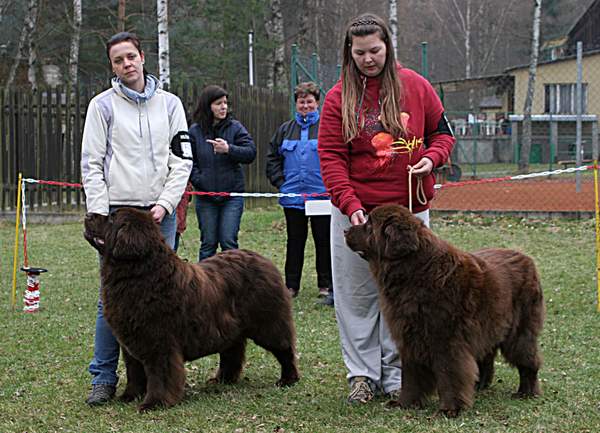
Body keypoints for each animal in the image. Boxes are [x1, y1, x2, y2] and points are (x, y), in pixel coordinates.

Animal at [84, 208, 300, 410]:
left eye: (112, 218)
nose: (88, 214)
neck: (140, 274)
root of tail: (263, 259)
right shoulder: (131, 341)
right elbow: (134, 372)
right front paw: (130, 396)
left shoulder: (160, 342)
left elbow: (160, 375)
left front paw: (154, 402)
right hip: (231, 327)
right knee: (232, 352)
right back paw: (223, 380)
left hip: (268, 323)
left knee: (284, 349)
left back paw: (288, 379)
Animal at [342, 204, 544, 416]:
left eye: (369, 225)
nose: (345, 230)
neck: (416, 272)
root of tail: (526, 257)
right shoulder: (409, 337)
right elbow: (411, 375)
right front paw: (405, 403)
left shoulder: (446, 339)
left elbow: (450, 373)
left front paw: (450, 408)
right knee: (486, 356)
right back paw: (479, 385)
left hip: (519, 331)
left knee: (528, 360)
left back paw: (526, 392)